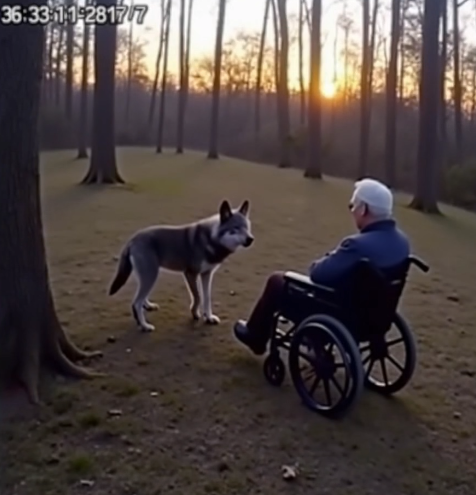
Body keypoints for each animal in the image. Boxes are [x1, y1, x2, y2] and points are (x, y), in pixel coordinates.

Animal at [108, 199, 254, 332]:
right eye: (235, 228)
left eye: (247, 227)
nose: (251, 239)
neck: (210, 239)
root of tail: (132, 239)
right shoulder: (190, 274)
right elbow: (197, 297)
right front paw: (195, 314)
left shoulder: (206, 274)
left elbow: (206, 298)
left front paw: (209, 317)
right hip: (151, 275)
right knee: (136, 303)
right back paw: (144, 326)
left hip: (147, 276)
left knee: (141, 298)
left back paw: (148, 306)